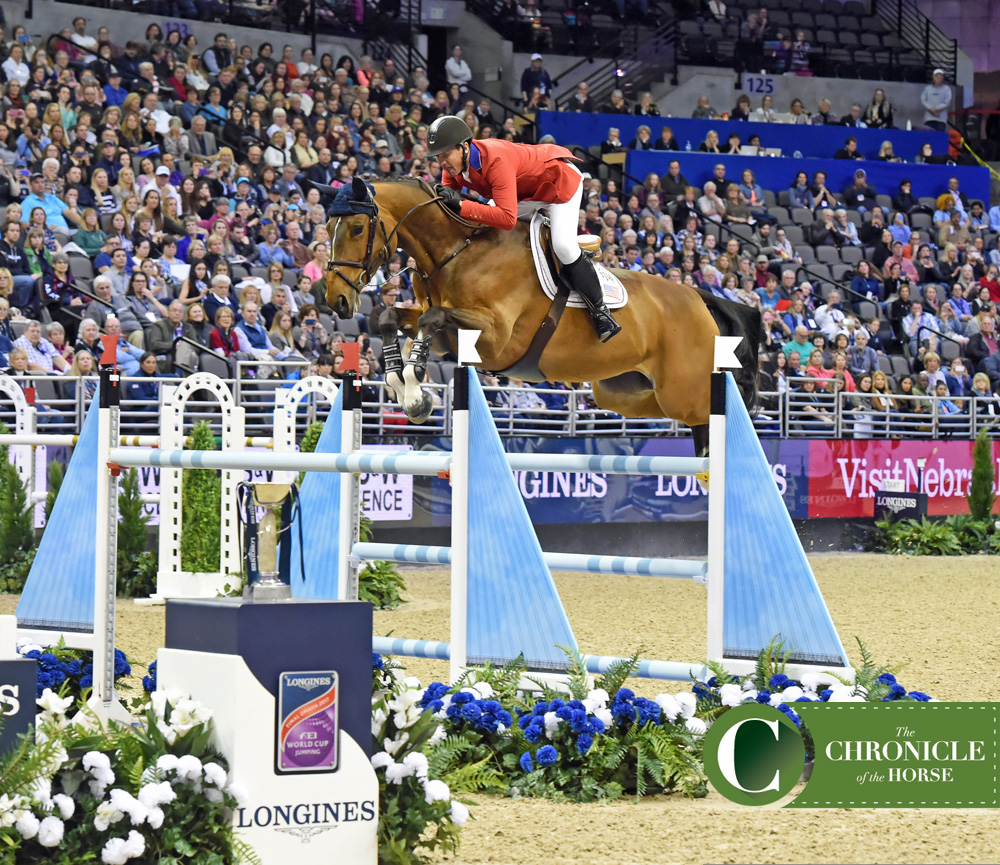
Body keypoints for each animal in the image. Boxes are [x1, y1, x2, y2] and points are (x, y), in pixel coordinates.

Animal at [326, 177, 756, 460]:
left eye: (358, 228)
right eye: (329, 227)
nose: (337, 302)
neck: (456, 251)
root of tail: (698, 296)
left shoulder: (496, 338)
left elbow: (431, 318)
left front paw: (415, 389)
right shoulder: (446, 333)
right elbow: (390, 316)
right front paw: (402, 385)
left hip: (681, 390)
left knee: (715, 414)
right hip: (625, 392)